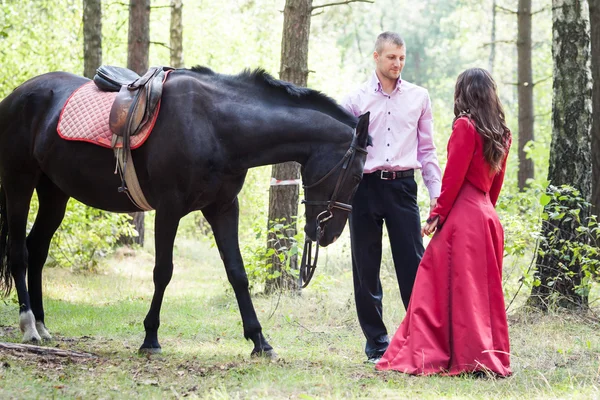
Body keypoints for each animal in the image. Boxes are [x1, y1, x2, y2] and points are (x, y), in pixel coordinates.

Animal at [0, 65, 370, 356]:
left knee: (37, 249)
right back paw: (29, 326)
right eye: (355, 176)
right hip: (19, 183)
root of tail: (16, 96)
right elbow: (163, 272)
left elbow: (237, 273)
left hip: (54, 192)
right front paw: (150, 338)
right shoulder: (169, 208)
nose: (329, 233)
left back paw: (42, 325)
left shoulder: (223, 208)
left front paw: (259, 340)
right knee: (19, 252)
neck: (215, 125)